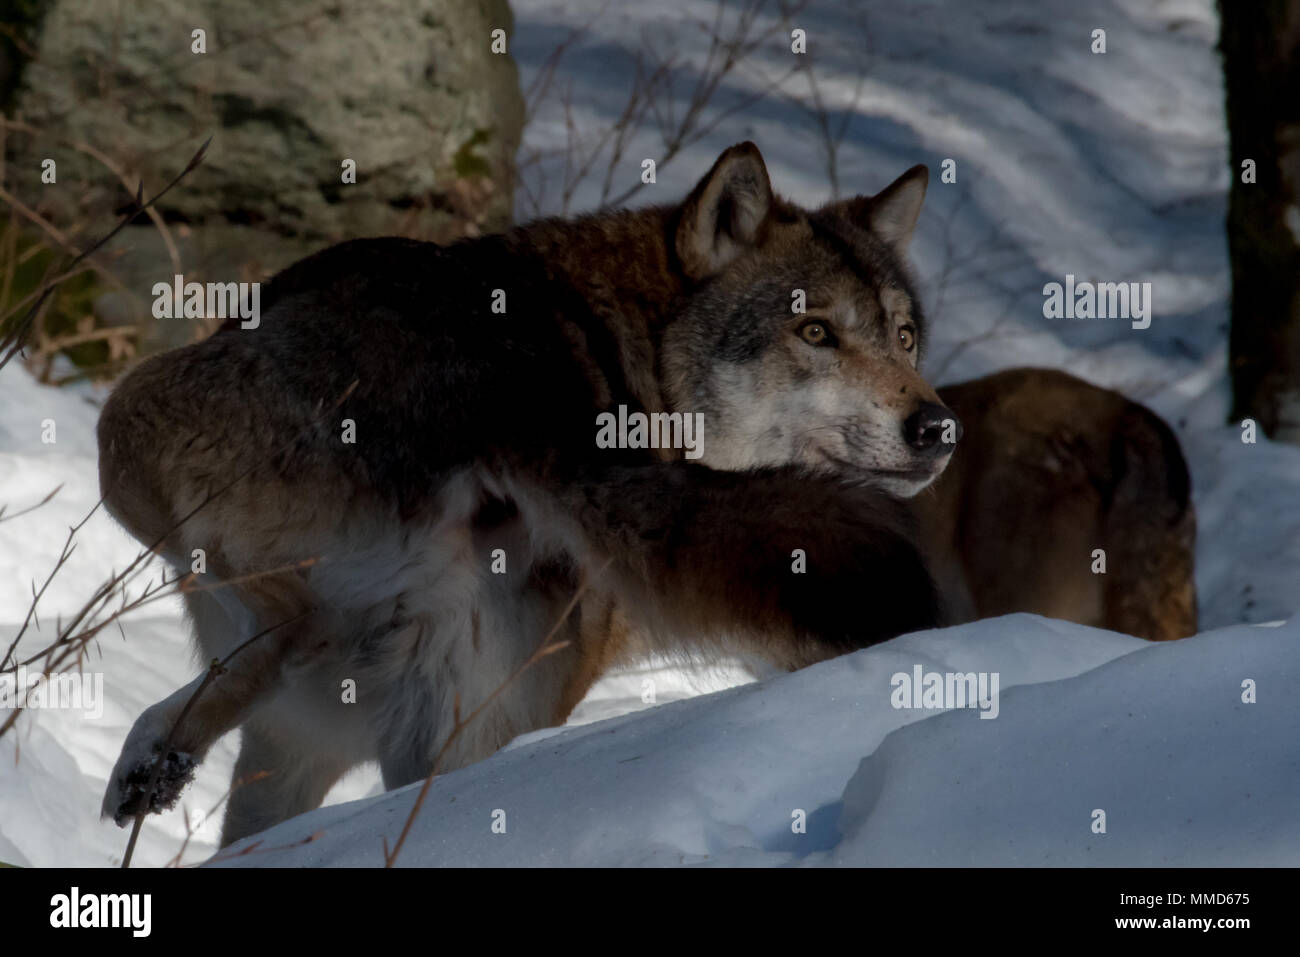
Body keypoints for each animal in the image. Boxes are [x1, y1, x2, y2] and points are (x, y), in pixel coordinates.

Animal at [101, 141, 961, 842]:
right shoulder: (294, 747)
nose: (936, 427)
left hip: (128, 416)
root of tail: (507, 386)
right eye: (816, 332)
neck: (639, 367)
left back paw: (152, 752)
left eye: (904, 337)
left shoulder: (300, 742)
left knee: (294, 627)